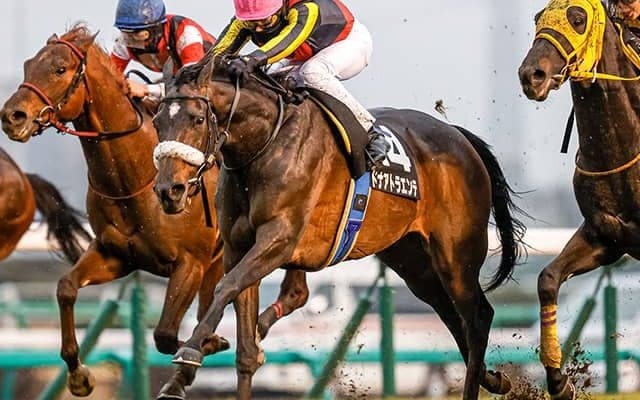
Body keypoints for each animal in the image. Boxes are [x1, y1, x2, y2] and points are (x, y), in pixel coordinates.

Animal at [151, 54, 527, 400]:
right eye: (156, 121)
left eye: (198, 119)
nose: (169, 190)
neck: (265, 144)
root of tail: (459, 137)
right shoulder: (237, 248)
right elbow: (244, 349)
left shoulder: (279, 239)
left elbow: (225, 286)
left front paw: (192, 348)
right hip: (412, 260)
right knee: (451, 315)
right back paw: (494, 379)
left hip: (456, 254)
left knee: (477, 317)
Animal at [518, 0, 640, 398]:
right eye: (538, 18)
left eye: (577, 18)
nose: (532, 74)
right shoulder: (605, 237)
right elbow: (547, 279)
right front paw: (559, 381)